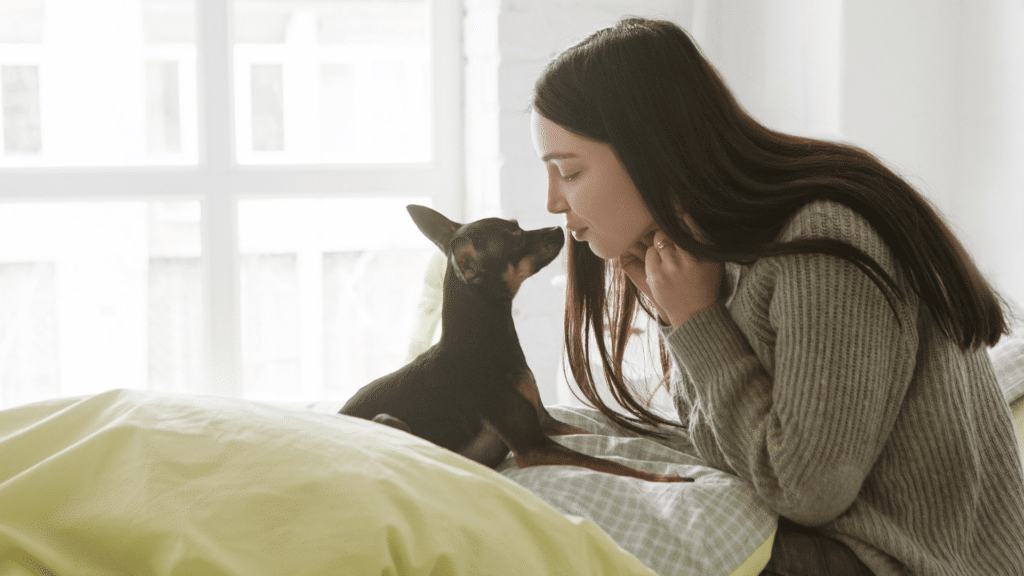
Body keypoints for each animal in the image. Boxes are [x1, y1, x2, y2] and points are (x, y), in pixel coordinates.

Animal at [342, 203, 688, 481]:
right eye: (517, 240)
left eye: (518, 226)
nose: (558, 227)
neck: (484, 343)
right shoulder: (532, 445)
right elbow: (613, 464)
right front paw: (666, 478)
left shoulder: (546, 423)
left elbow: (601, 435)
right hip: (389, 422)